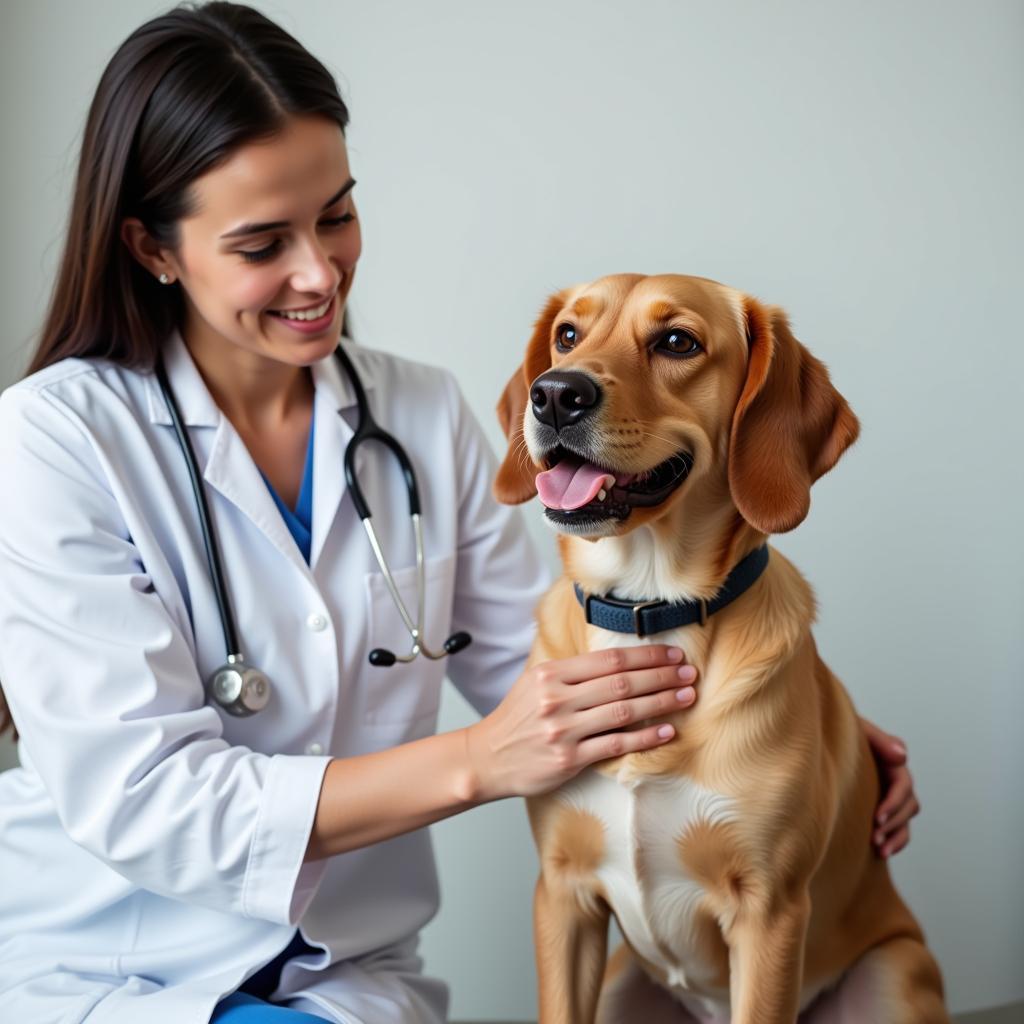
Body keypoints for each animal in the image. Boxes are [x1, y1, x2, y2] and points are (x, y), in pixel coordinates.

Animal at [491, 274, 946, 1024]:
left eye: (678, 342)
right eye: (567, 335)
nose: (555, 393)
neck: (649, 606)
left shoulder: (770, 913)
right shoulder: (563, 896)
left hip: (898, 973)